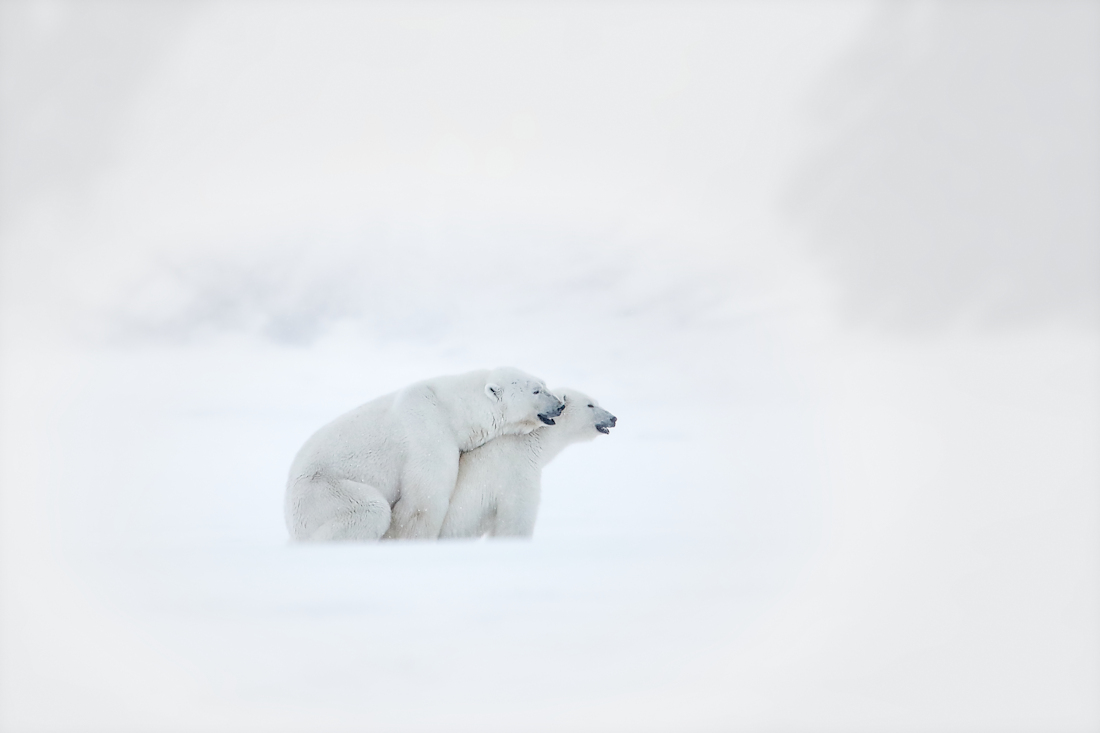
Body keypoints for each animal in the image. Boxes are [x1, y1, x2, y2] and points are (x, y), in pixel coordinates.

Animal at [283, 367, 563, 539]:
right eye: (536, 390)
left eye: (544, 383)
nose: (560, 405)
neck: (452, 408)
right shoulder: (429, 432)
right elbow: (424, 502)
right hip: (321, 492)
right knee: (368, 509)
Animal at [437, 387, 616, 537]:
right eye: (590, 405)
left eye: (596, 402)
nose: (613, 418)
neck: (530, 440)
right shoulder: (515, 472)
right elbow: (517, 518)